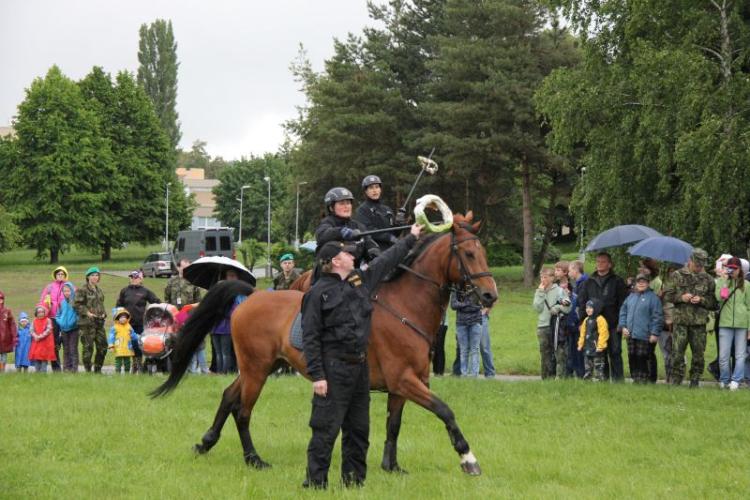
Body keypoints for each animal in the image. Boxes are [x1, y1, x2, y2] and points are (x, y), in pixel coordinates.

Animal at [153, 212, 500, 476]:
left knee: (228, 397)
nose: (489, 295)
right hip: (256, 370)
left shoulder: (405, 385)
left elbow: (394, 425)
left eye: (483, 253)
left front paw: (391, 466)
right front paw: (468, 459)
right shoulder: (406, 381)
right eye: (469, 254)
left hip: (262, 366)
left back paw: (206, 441)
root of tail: (251, 297)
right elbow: (445, 411)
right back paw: (254, 459)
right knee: (243, 411)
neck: (405, 306)